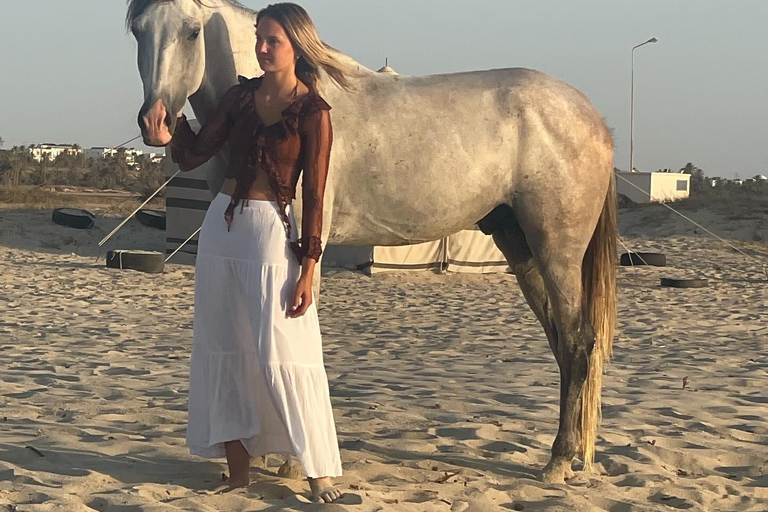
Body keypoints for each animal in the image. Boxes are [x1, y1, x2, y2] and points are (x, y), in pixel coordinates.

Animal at [128, 0, 617, 484]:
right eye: (138, 30)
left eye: (192, 31)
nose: (155, 122)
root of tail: (593, 117)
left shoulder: (304, 245)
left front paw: (292, 461)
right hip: (521, 248)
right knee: (561, 343)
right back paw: (569, 454)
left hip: (557, 252)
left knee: (578, 343)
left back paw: (558, 461)